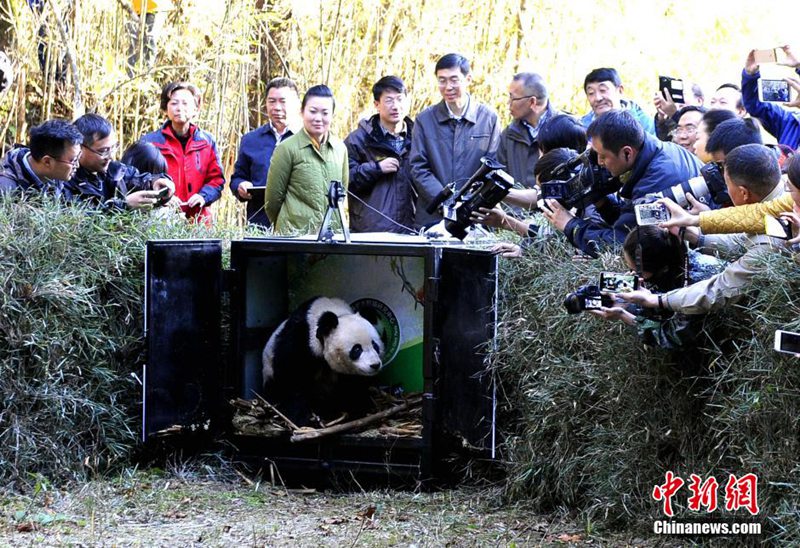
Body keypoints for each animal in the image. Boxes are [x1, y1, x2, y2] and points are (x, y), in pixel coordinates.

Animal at [262, 298, 384, 426]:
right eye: (357, 349)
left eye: (375, 345)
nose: (375, 365)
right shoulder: (300, 338)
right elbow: (292, 376)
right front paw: (300, 418)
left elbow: (352, 386)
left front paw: (358, 408)